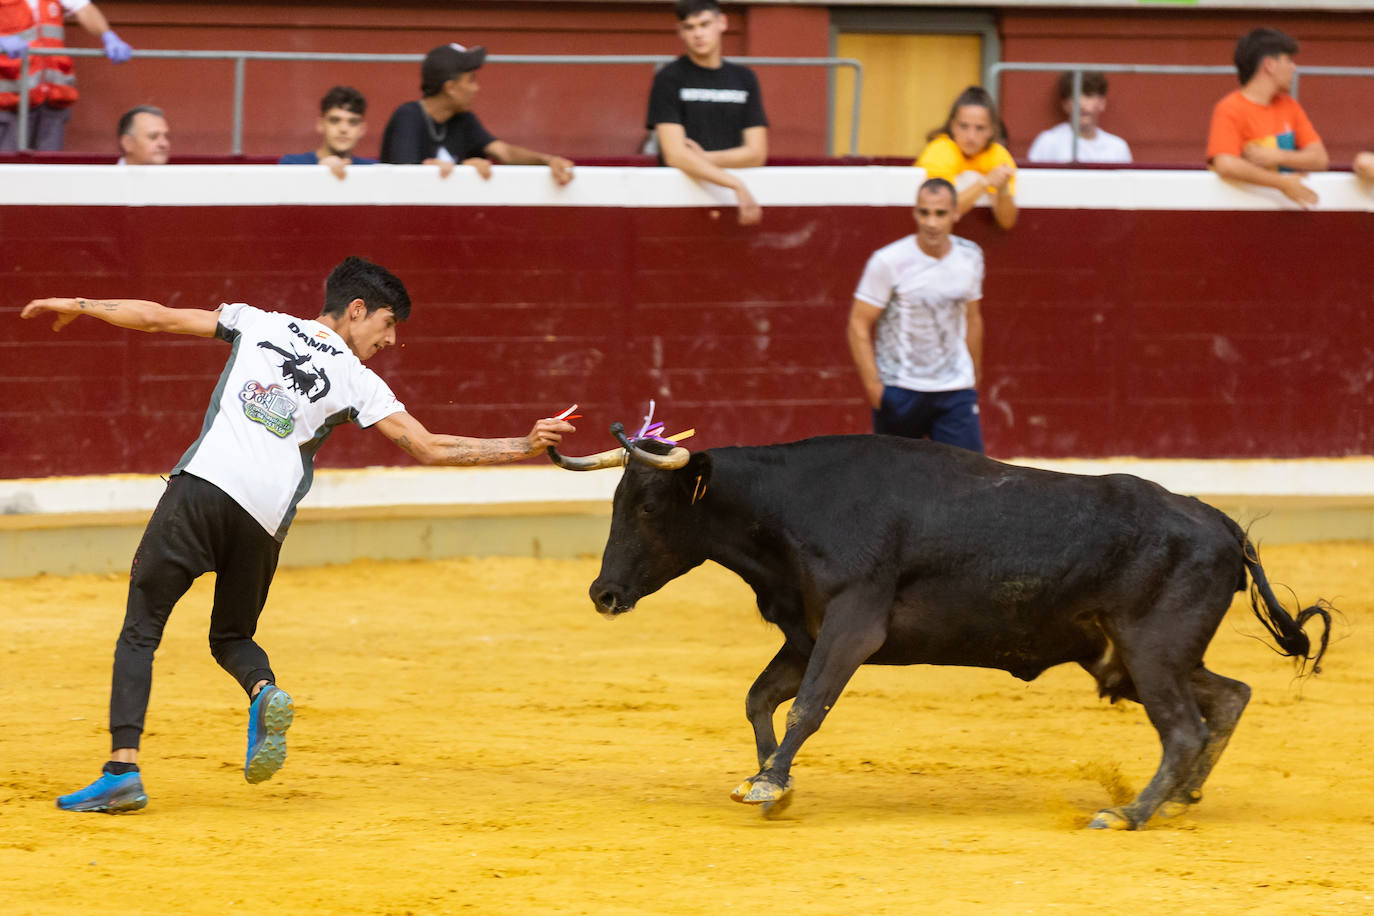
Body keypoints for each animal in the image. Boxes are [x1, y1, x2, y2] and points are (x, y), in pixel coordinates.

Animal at [571, 433, 1330, 829]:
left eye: (646, 506)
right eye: (619, 500)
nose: (603, 593)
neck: (790, 507)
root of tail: (1225, 525)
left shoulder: (852, 624)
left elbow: (809, 705)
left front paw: (769, 783)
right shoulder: (806, 632)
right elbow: (761, 698)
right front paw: (769, 782)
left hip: (1153, 649)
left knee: (1184, 728)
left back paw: (1130, 812)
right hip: (1141, 657)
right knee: (1228, 696)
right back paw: (1178, 800)